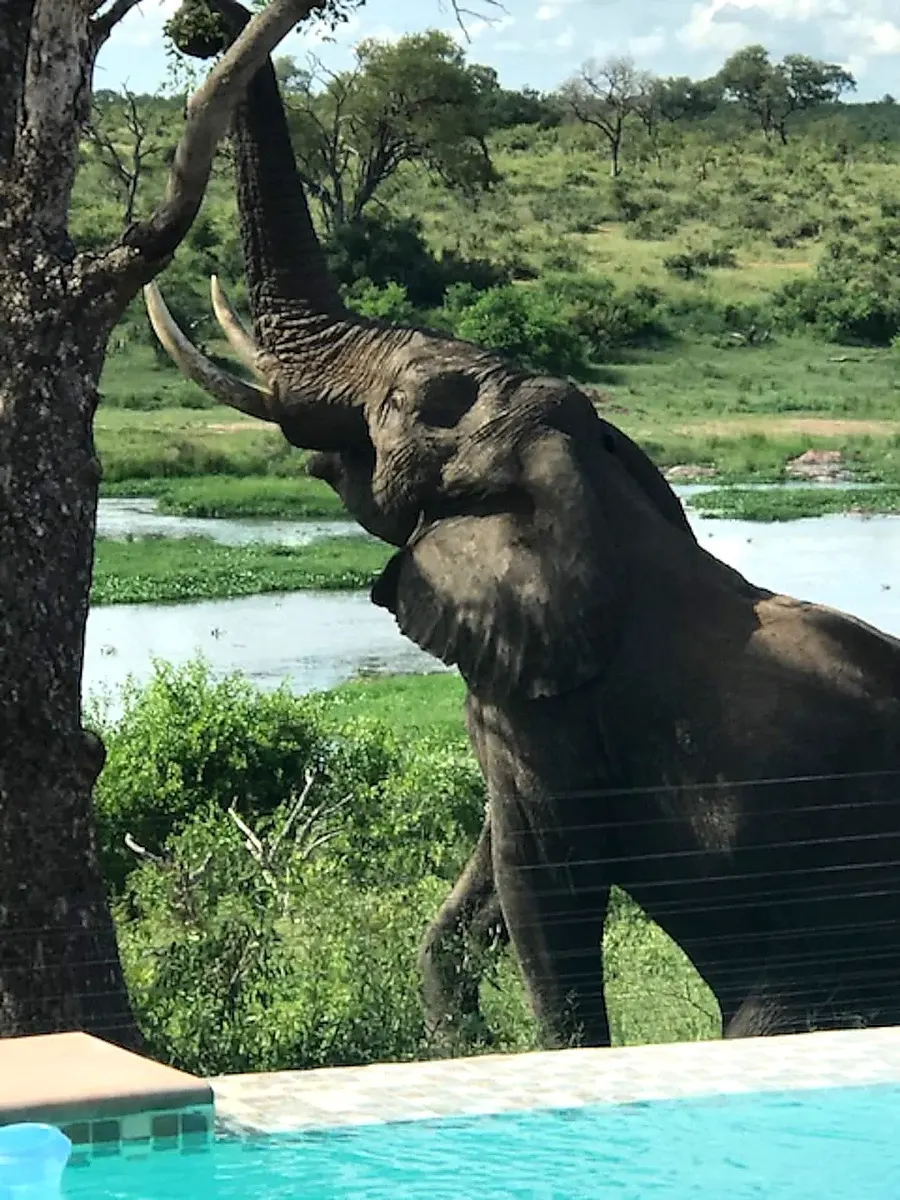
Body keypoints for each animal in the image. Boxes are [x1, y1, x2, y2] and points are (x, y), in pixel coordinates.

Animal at [147, 0, 900, 1049]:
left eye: (412, 406)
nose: (211, 20)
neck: (585, 482)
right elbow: (480, 882)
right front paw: (453, 1042)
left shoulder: (553, 709)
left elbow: (539, 882)